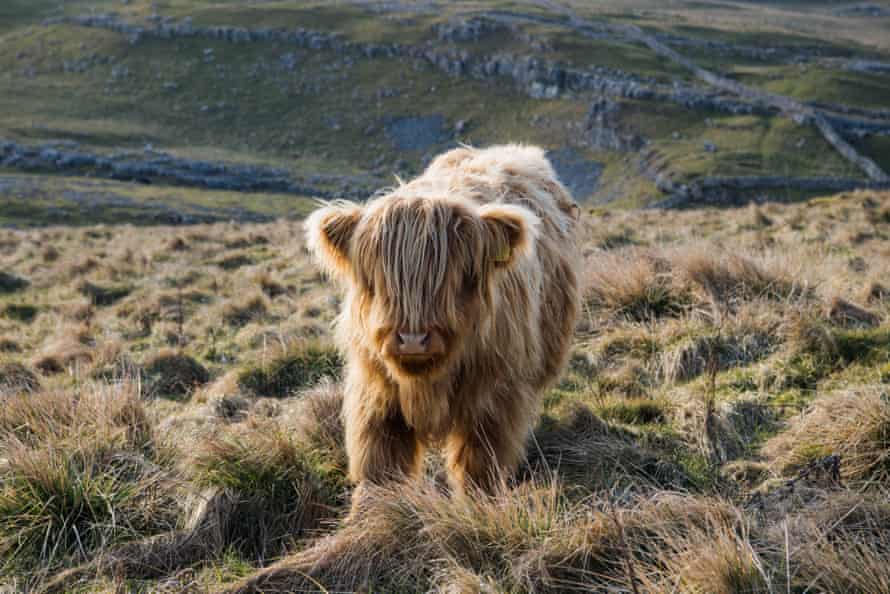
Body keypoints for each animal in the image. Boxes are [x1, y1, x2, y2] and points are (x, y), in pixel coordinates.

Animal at [306, 145, 584, 494]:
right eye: (378, 278)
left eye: (456, 275)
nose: (412, 340)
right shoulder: (377, 393)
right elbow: (380, 464)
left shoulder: (494, 397)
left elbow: (479, 463)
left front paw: (477, 503)